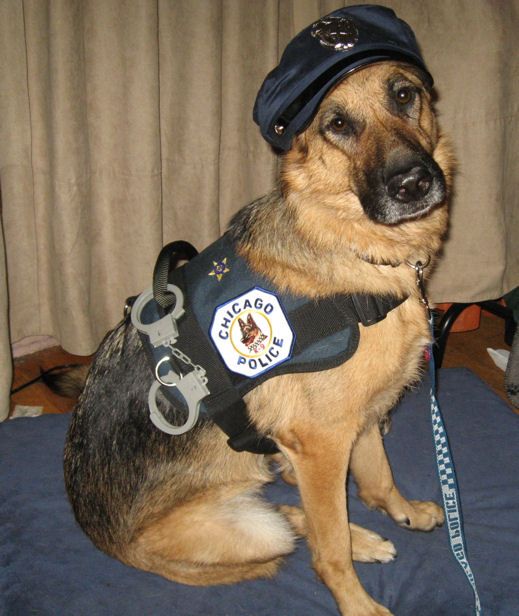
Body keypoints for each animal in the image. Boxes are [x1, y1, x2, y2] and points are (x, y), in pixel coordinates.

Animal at [64, 63, 456, 616]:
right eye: (337, 124)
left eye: (405, 95)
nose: (413, 183)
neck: (350, 247)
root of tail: (107, 541)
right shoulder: (322, 442)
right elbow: (329, 546)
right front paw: (356, 602)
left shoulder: (362, 416)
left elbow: (378, 476)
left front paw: (399, 510)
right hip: (253, 528)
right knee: (293, 525)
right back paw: (355, 540)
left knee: (295, 505)